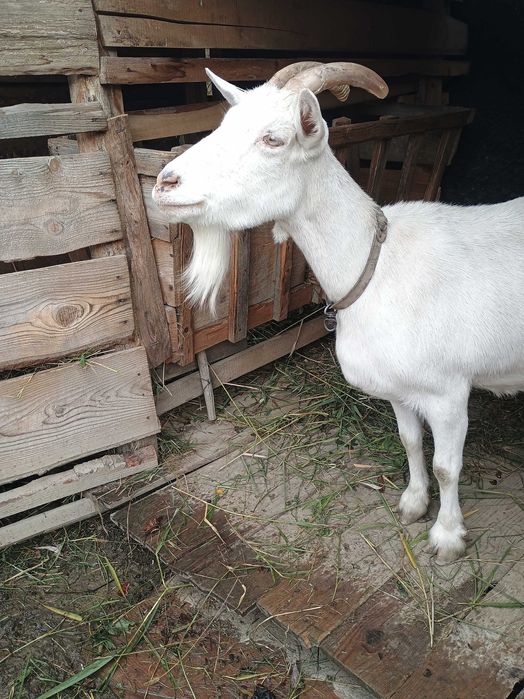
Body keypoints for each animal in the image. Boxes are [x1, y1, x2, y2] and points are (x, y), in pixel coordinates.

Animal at [153, 62, 524, 563]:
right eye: (224, 124)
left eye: (273, 138)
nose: (165, 184)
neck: (376, 264)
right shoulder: (399, 388)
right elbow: (410, 441)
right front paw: (412, 504)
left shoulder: (448, 392)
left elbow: (447, 465)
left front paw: (447, 537)